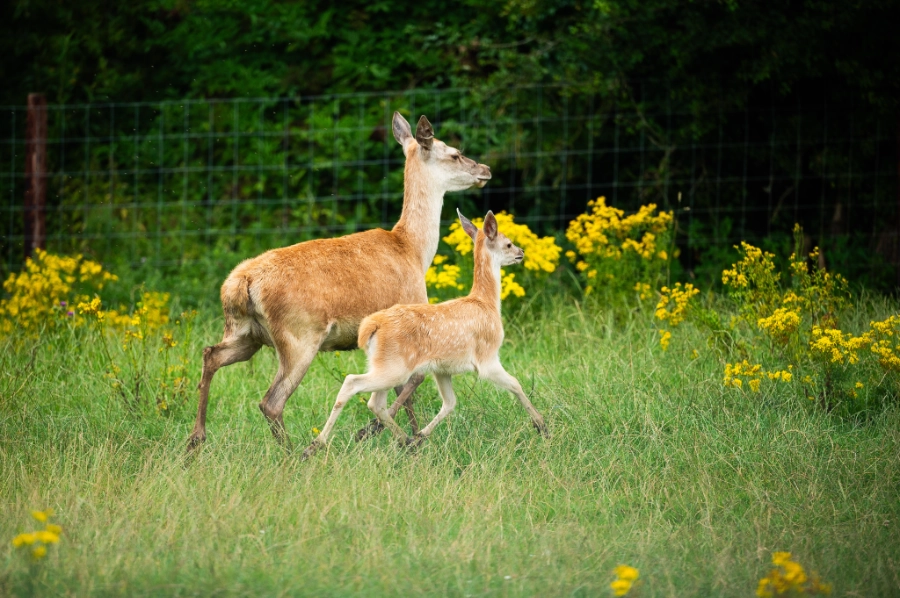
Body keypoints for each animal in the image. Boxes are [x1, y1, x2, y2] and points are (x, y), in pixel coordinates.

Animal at [185, 112, 488, 450]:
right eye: (455, 153)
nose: (485, 170)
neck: (413, 250)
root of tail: (240, 282)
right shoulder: (411, 312)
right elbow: (413, 381)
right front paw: (384, 434)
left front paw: (406, 437)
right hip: (299, 336)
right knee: (271, 401)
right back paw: (293, 451)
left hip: (244, 333)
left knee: (211, 354)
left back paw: (196, 440)